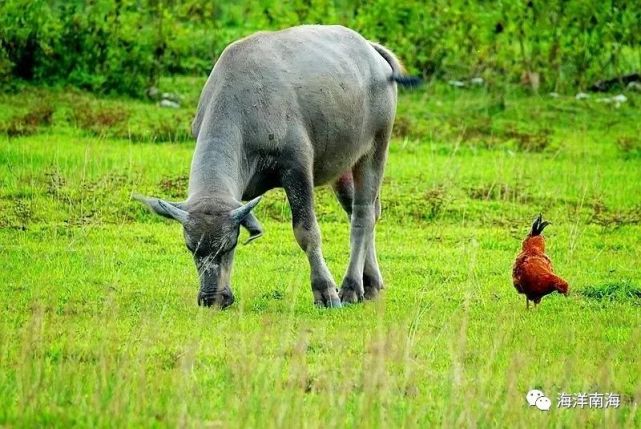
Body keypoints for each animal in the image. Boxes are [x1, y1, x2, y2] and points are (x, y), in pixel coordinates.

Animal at [134, 25, 420, 308]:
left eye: (228, 245)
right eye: (192, 248)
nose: (212, 298)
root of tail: (372, 50)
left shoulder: (297, 168)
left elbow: (306, 230)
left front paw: (325, 291)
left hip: (376, 148)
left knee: (362, 214)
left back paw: (350, 287)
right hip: (342, 165)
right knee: (363, 211)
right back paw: (370, 284)